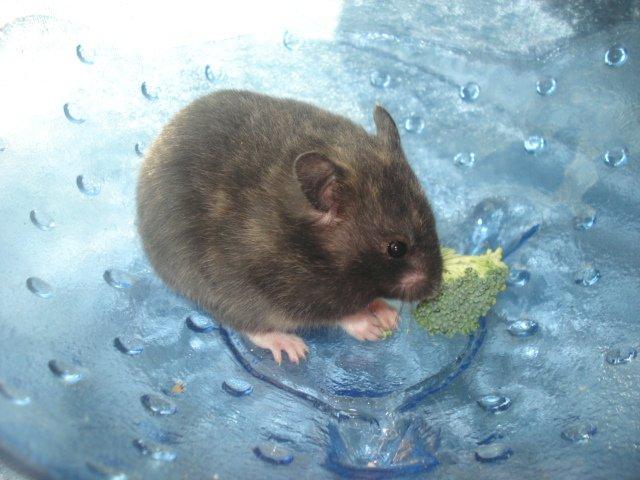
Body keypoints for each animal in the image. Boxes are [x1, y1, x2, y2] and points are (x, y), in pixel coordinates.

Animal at [137, 90, 442, 364]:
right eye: (396, 248)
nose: (436, 289)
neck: (314, 248)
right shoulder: (288, 290)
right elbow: (341, 314)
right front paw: (371, 327)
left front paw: (388, 316)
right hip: (222, 294)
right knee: (249, 326)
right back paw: (292, 348)